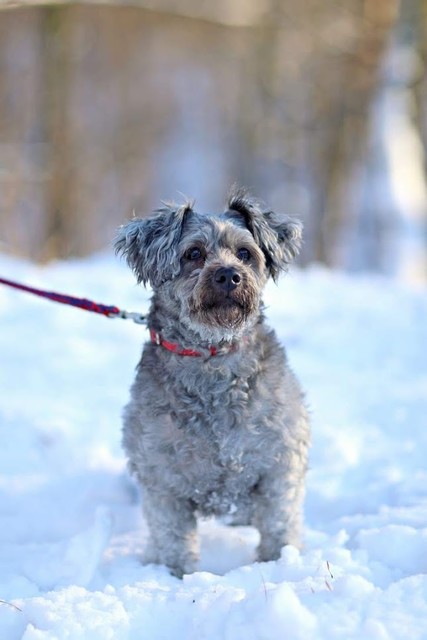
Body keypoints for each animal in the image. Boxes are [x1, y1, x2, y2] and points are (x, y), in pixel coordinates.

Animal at [115, 188, 310, 576]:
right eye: (193, 253)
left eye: (245, 253)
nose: (229, 275)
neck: (212, 358)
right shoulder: (162, 479)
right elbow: (172, 539)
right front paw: (174, 577)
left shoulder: (280, 465)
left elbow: (279, 526)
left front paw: (280, 564)